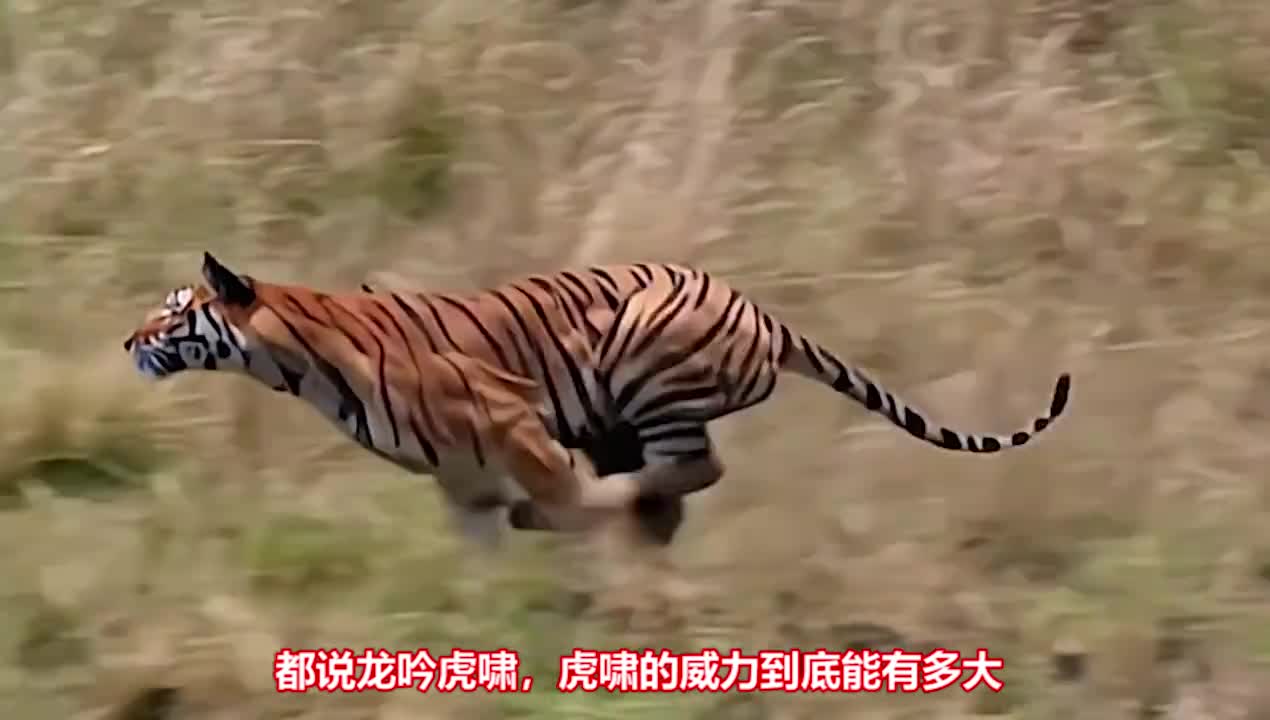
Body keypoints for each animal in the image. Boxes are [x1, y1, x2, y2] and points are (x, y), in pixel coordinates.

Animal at [122, 252, 645, 548]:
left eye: (172, 311)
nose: (128, 341)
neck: (295, 369)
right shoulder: (465, 480)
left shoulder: (514, 425)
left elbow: (583, 506)